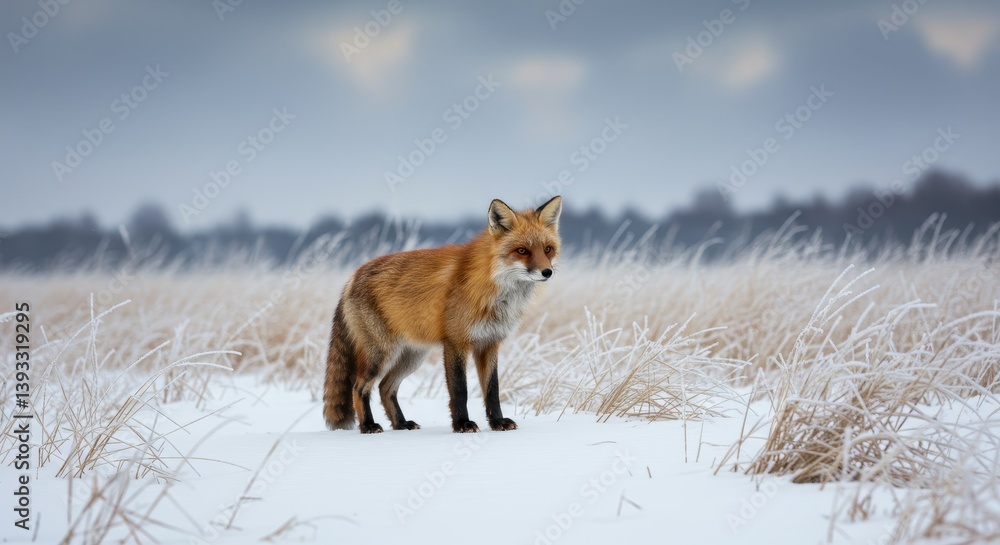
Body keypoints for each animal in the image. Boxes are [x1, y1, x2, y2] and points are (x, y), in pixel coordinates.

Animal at [323, 196, 562, 433]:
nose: (547, 272)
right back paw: (368, 425)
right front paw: (462, 424)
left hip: (412, 357)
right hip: (380, 355)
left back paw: (401, 424)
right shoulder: (456, 342)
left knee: (385, 387)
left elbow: (492, 390)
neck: (492, 288)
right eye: (522, 251)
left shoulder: (489, 342)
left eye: (548, 249)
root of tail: (353, 275)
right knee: (359, 387)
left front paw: (497, 422)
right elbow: (460, 390)